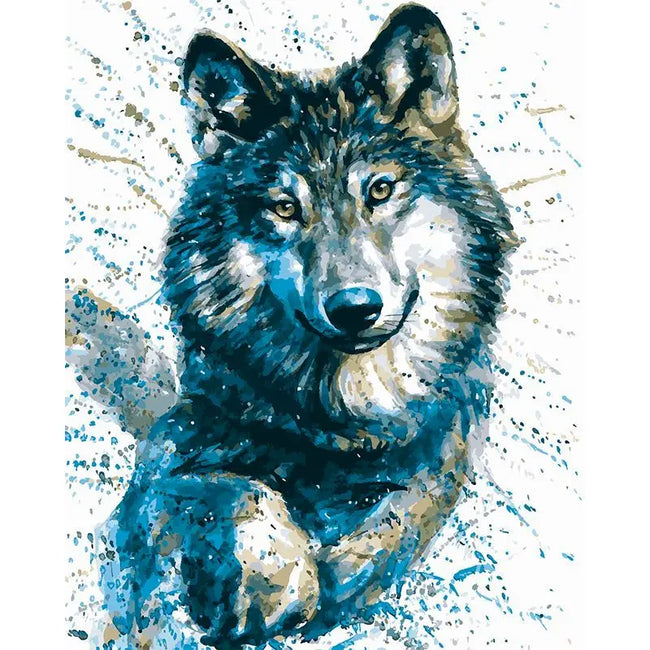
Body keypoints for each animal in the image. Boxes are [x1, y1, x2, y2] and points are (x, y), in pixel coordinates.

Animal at [93, 3, 515, 647]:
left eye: (380, 189)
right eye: (286, 207)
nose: (355, 307)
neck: (342, 420)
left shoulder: (443, 453)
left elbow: (399, 517)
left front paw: (337, 577)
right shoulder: (172, 448)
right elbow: (241, 486)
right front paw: (279, 582)